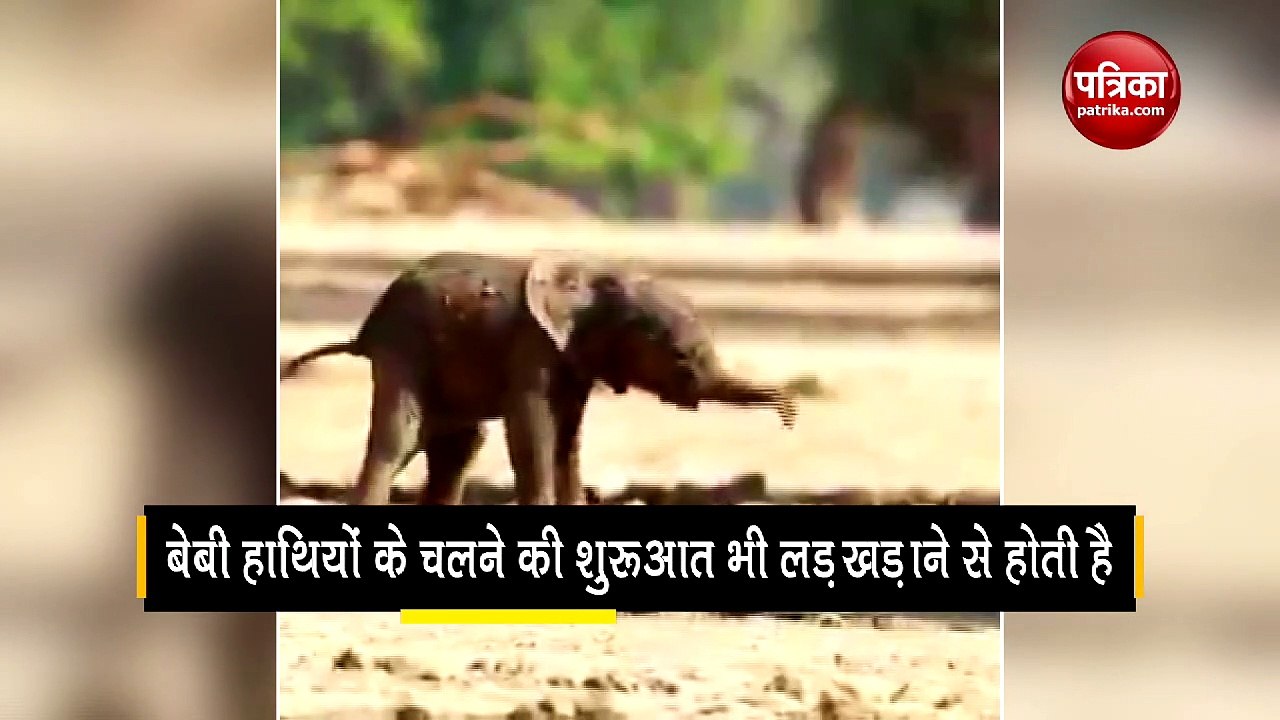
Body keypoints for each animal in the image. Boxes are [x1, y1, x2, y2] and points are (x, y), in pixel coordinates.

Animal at [282, 251, 797, 506]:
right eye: (681, 358)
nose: (789, 417)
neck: (600, 279)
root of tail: (364, 330)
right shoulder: (533, 343)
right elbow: (533, 423)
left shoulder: (574, 359)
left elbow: (568, 436)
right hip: (403, 346)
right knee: (400, 436)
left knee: (459, 445)